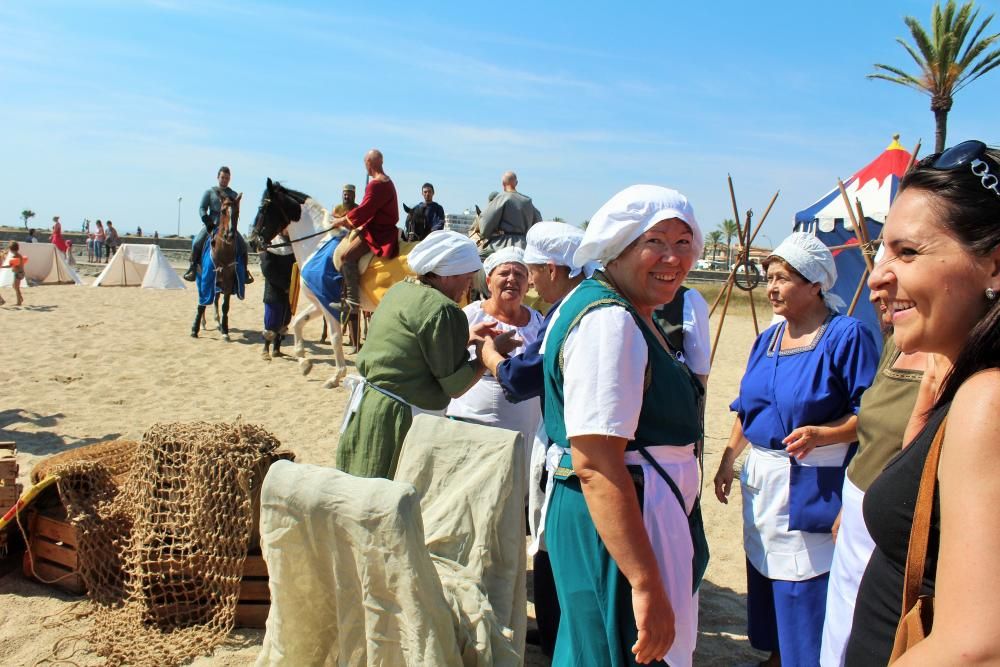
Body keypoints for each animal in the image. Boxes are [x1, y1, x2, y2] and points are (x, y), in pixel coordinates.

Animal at [192, 193, 245, 340]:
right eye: (223, 211)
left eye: (237, 211)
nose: (230, 235)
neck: (223, 251)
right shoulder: (206, 278)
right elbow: (202, 304)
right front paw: (194, 329)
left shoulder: (228, 281)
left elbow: (225, 306)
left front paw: (225, 331)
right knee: (204, 300)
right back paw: (203, 323)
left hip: (218, 283)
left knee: (215, 300)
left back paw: (218, 323)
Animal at [246, 183, 348, 392]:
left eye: (263, 208)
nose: (252, 241)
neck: (317, 244)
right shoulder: (319, 302)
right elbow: (298, 322)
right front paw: (304, 362)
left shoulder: (328, 303)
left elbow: (335, 338)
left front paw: (336, 377)